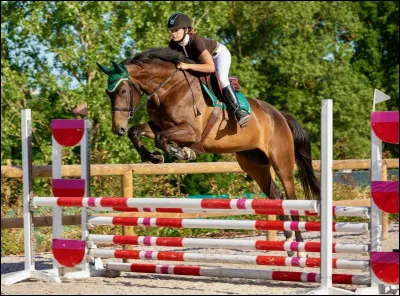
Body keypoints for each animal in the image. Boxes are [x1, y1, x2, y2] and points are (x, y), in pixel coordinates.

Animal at [97, 46, 322, 256]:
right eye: (108, 93)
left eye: (122, 91)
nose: (118, 129)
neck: (168, 88)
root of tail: (280, 115)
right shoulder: (158, 126)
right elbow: (137, 132)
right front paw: (152, 156)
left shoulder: (191, 131)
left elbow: (162, 139)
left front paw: (182, 153)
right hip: (254, 165)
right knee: (276, 195)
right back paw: (289, 242)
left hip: (281, 162)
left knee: (291, 198)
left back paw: (300, 247)